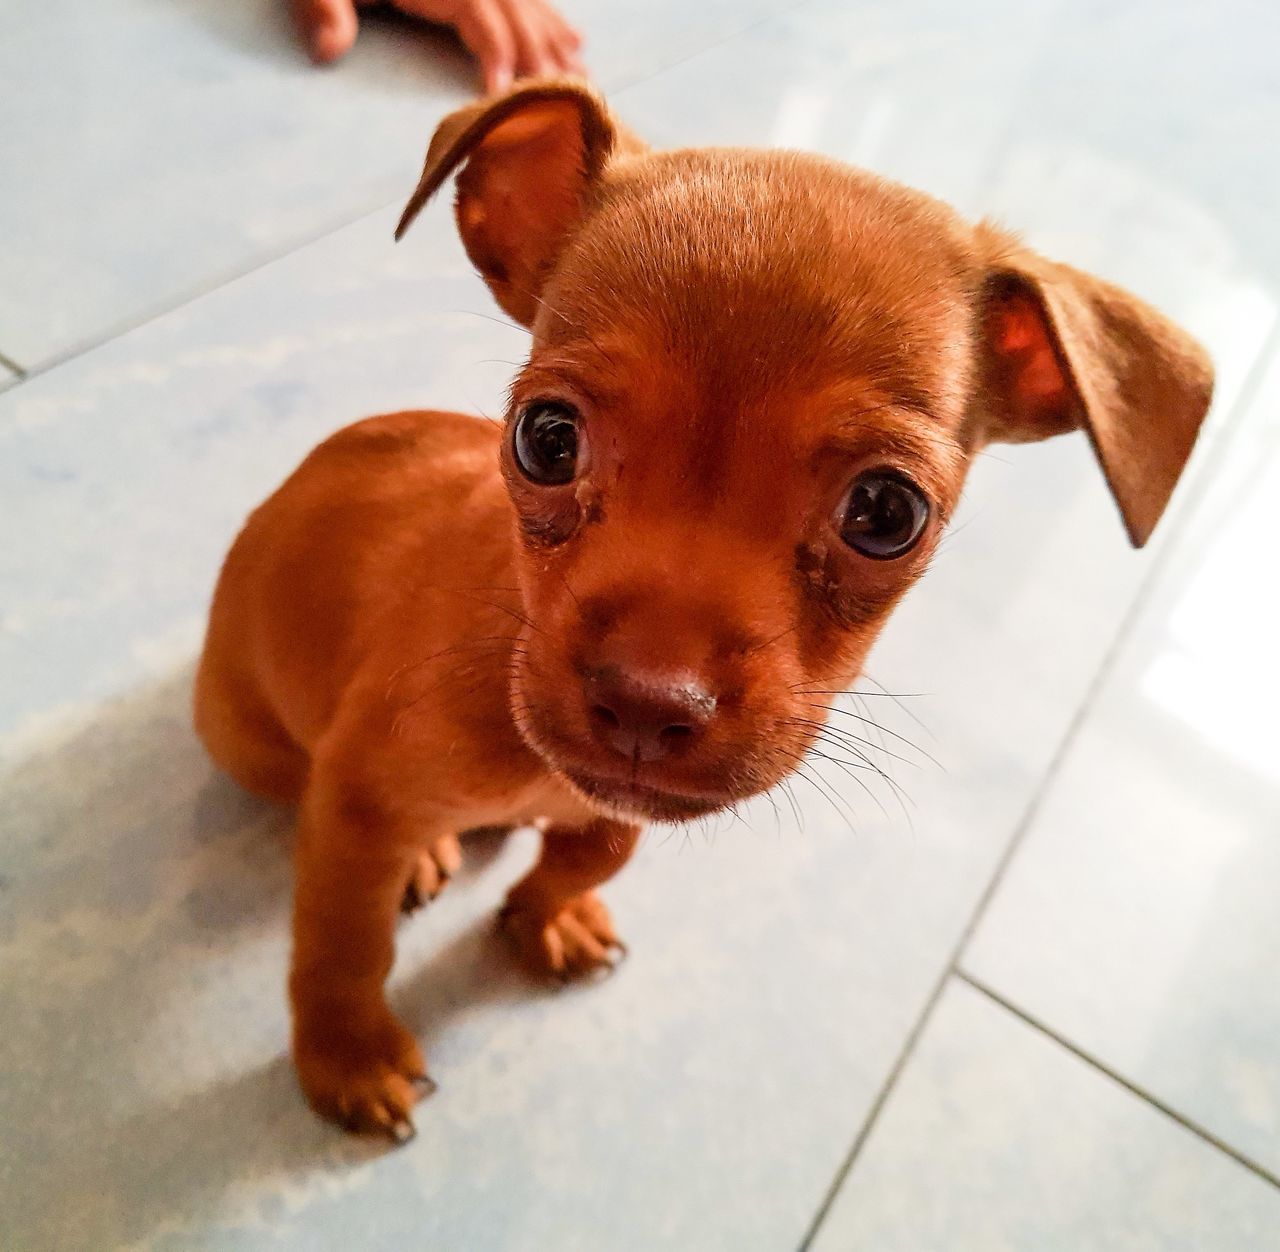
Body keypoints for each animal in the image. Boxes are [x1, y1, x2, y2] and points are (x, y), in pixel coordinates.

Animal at [194, 75, 1213, 1131]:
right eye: (544, 438)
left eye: (888, 513)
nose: (647, 704)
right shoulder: (353, 811)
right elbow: (342, 949)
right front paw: (350, 1056)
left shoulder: (612, 812)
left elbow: (596, 849)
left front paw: (551, 912)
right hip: (252, 744)